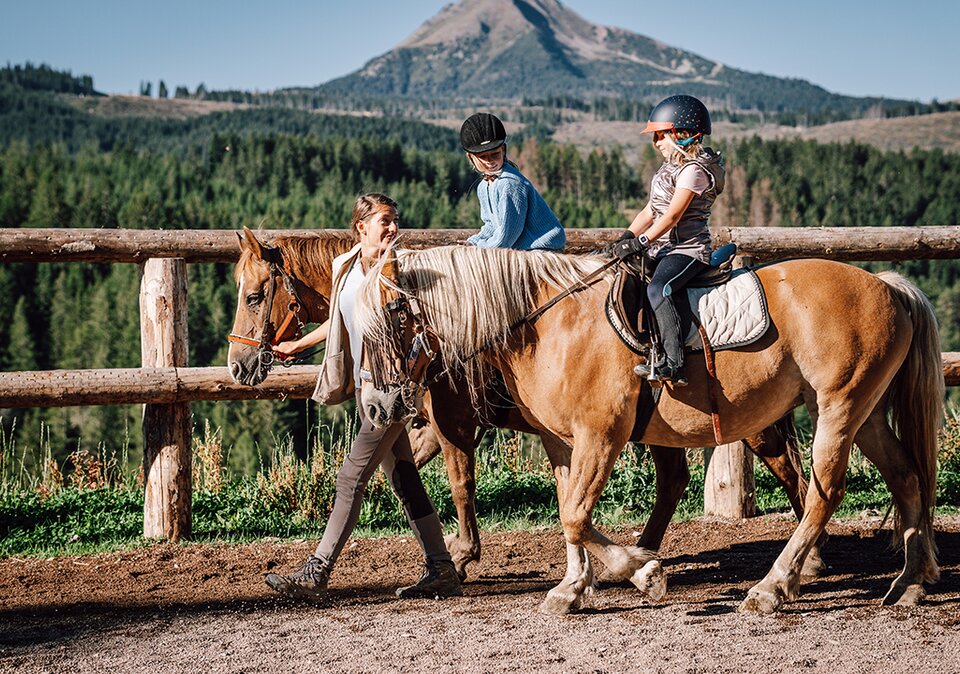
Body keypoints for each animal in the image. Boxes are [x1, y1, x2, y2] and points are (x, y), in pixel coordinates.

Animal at [227, 227, 816, 576]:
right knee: (676, 479)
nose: (238, 364)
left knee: (788, 469)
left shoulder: (453, 420)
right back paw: (643, 554)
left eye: (254, 295)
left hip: (744, 418)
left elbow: (461, 483)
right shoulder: (429, 423)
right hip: (658, 424)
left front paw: (462, 555)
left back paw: (804, 561)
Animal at [356, 244, 940, 612]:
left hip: (836, 407)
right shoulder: (564, 440)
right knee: (906, 478)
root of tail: (886, 287)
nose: (377, 404)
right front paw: (572, 588)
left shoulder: (599, 436)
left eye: (392, 312)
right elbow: (569, 511)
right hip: (863, 412)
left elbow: (571, 514)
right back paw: (909, 582)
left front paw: (641, 570)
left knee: (822, 492)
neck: (549, 325)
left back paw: (773, 586)